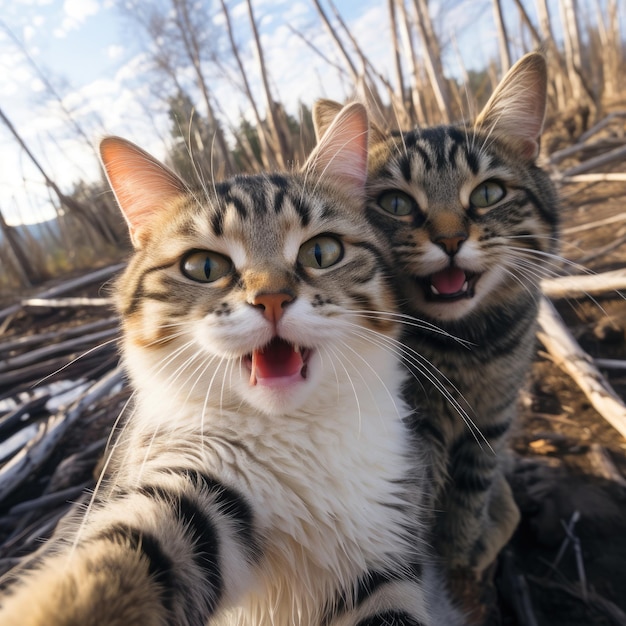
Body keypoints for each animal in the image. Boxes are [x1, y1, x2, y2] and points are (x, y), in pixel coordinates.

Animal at [0, 103, 464, 624]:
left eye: (322, 251)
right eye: (204, 267)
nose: (273, 299)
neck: (294, 432)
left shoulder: (383, 552)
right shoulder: (195, 481)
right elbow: (120, 558)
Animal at [314, 52, 560, 576]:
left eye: (488, 194)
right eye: (396, 202)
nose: (450, 240)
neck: (465, 343)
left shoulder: (494, 412)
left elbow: (473, 485)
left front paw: (459, 549)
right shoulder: (412, 425)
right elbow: (413, 496)